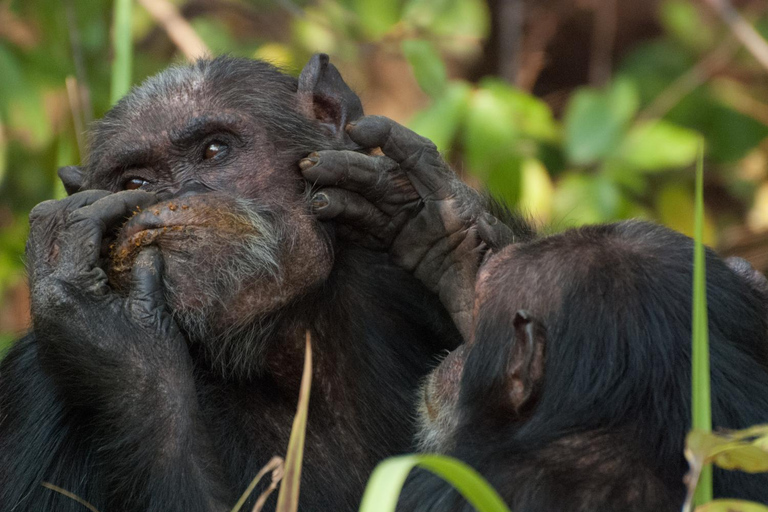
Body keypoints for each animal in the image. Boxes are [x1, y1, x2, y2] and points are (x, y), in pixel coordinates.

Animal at [0, 55, 520, 512]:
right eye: (136, 182)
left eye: (214, 150)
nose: (180, 197)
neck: (285, 345)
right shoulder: (35, 398)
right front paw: (111, 331)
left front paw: (445, 230)